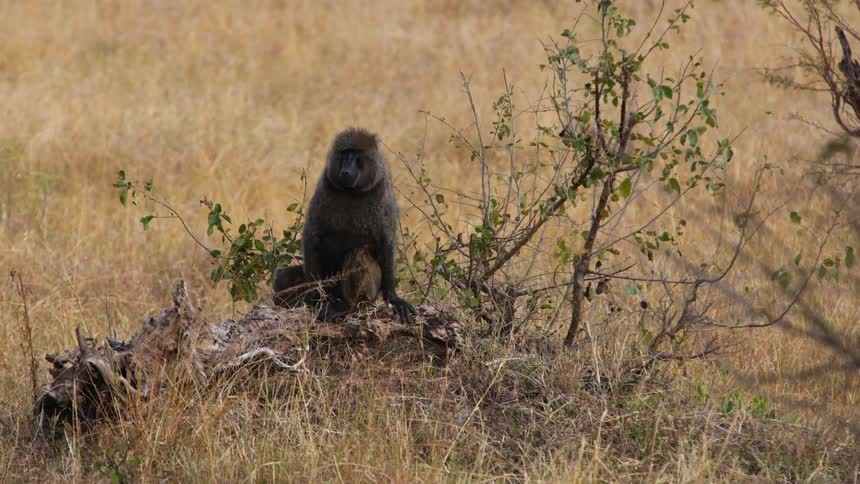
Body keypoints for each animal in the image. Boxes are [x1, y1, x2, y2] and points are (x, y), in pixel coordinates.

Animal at [272, 127, 416, 322]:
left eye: (356, 155)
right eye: (344, 154)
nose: (346, 171)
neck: (352, 193)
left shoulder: (382, 195)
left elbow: (386, 243)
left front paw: (393, 297)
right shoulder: (324, 188)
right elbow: (312, 236)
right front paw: (313, 296)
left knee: (358, 255)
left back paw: (346, 307)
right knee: (281, 276)